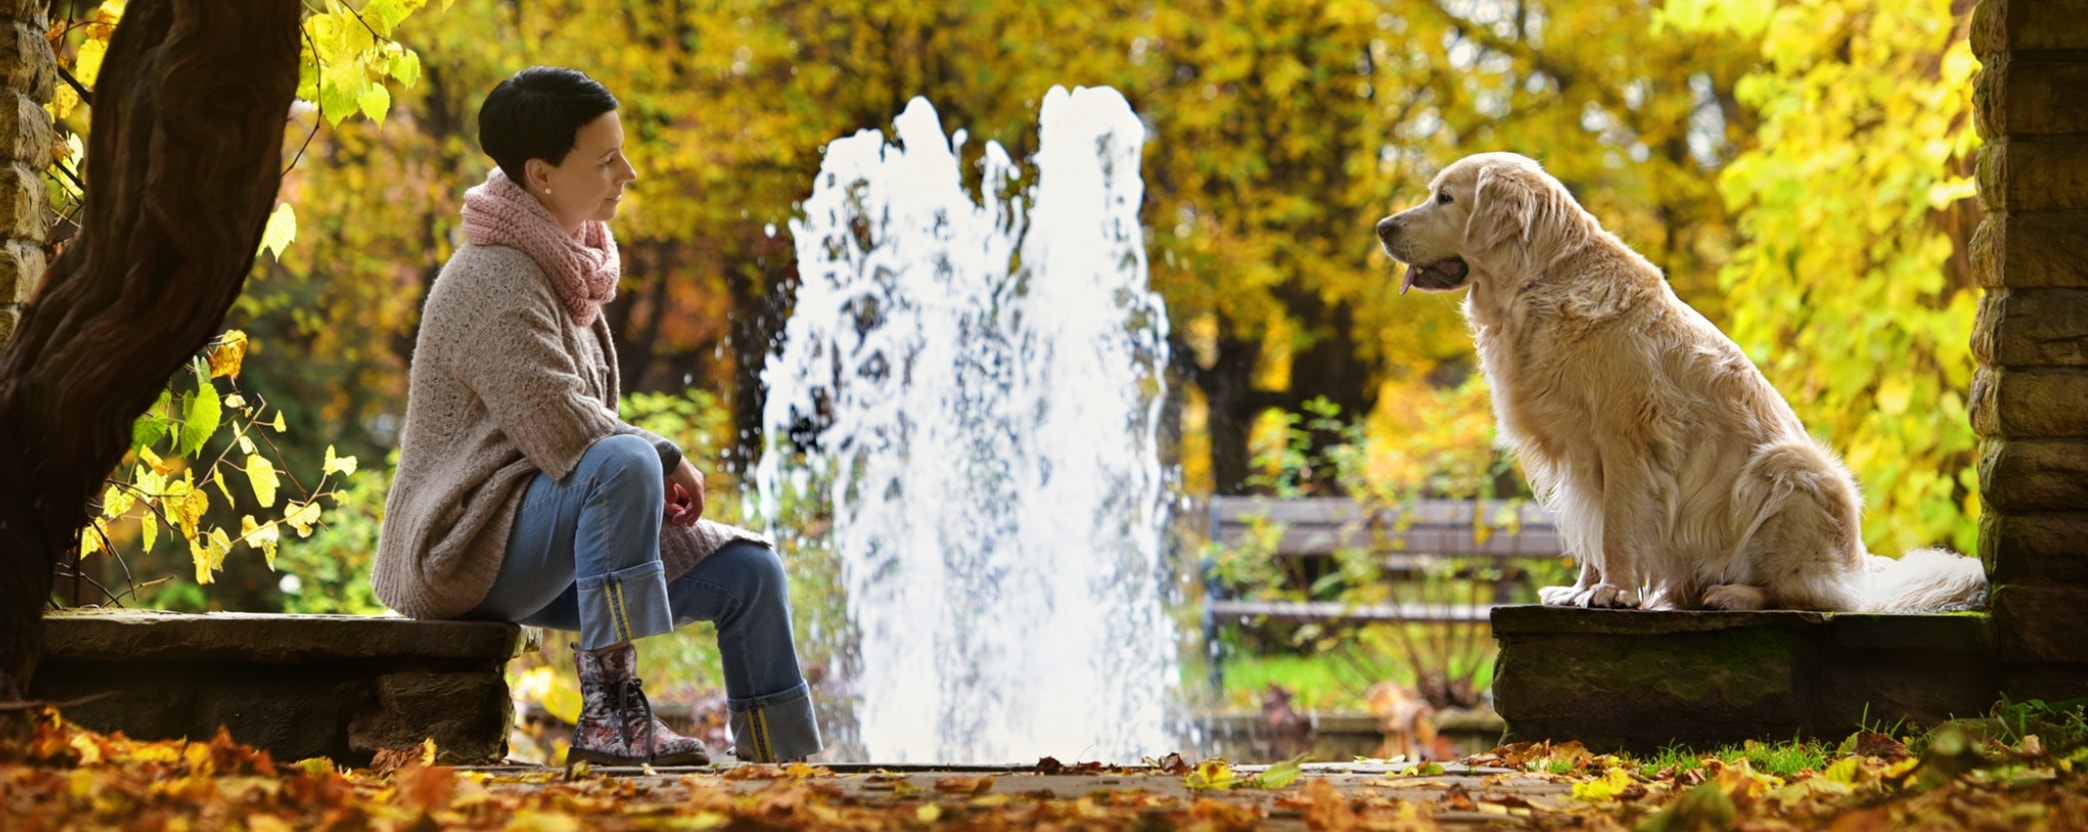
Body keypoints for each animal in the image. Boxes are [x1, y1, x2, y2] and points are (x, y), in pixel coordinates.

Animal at [1378, 152, 1979, 614]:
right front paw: (1580, 590)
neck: (1539, 284)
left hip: (1788, 467)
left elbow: (1616, 526)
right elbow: (1591, 528)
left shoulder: (1625, 440)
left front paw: (1614, 592)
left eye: (1446, 198)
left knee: (1812, 595)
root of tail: (1861, 573)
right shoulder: (1579, 453)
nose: (1383, 227)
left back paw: (1734, 594)